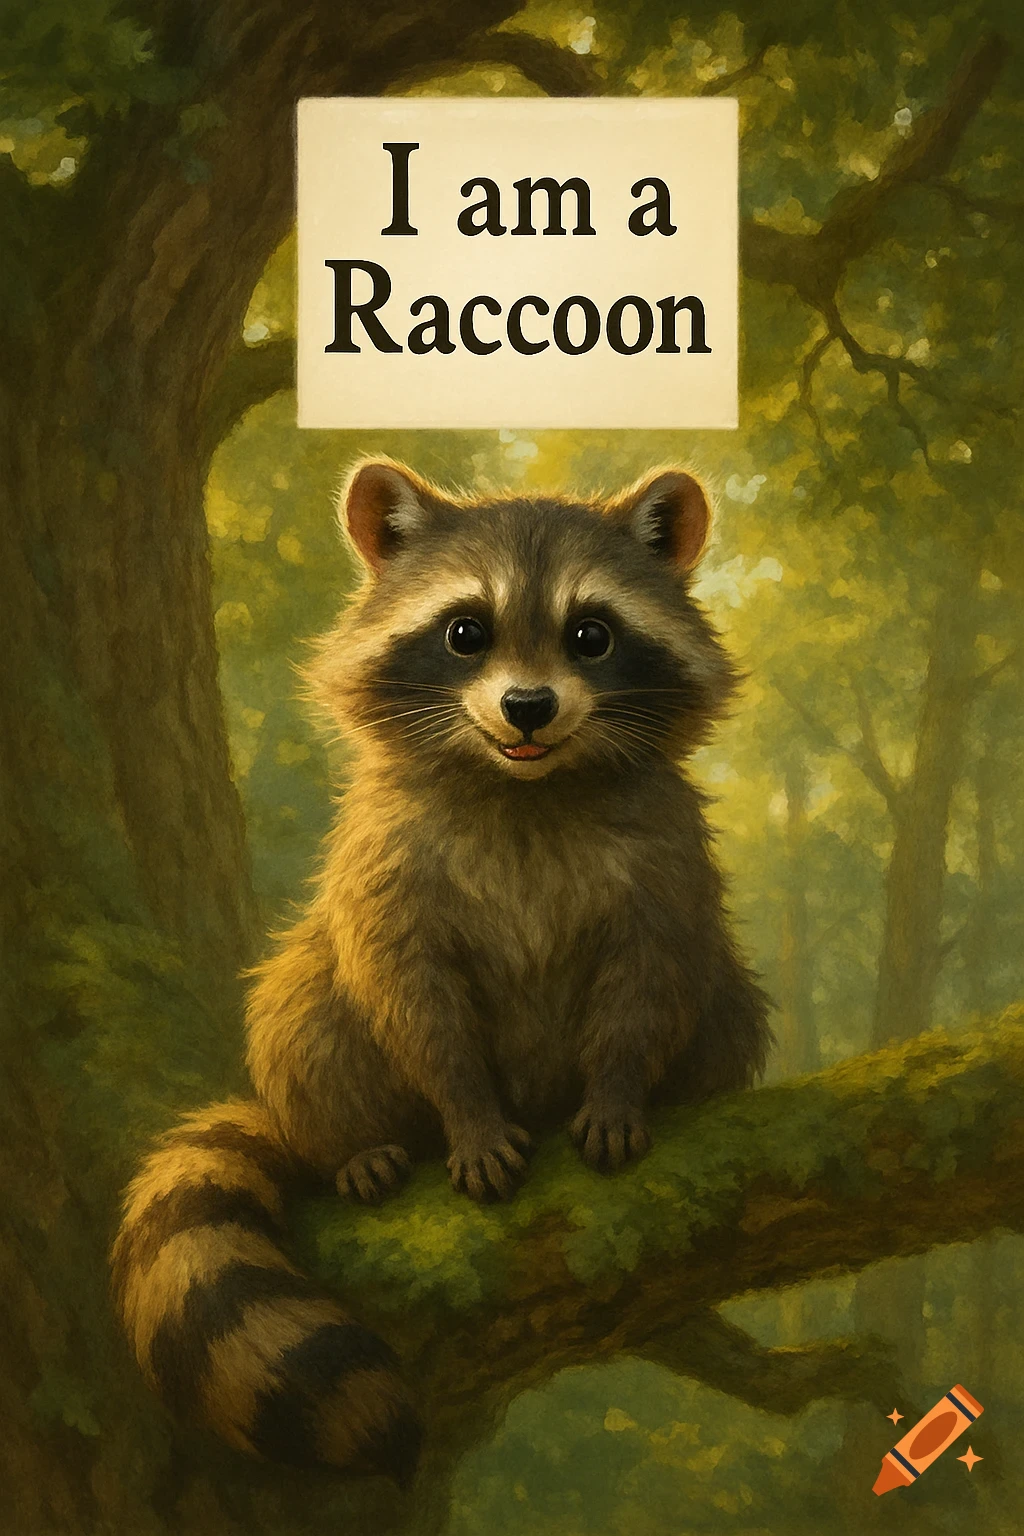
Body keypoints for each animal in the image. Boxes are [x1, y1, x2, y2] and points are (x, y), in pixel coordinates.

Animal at [111, 459, 771, 1485]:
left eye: (592, 634)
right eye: (466, 632)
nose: (529, 707)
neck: (525, 784)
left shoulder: (666, 855)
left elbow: (651, 976)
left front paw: (622, 1089)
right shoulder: (385, 860)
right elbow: (412, 996)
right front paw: (468, 1110)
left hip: (726, 999)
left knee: (725, 1004)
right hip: (311, 1010)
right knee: (303, 1005)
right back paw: (353, 1141)